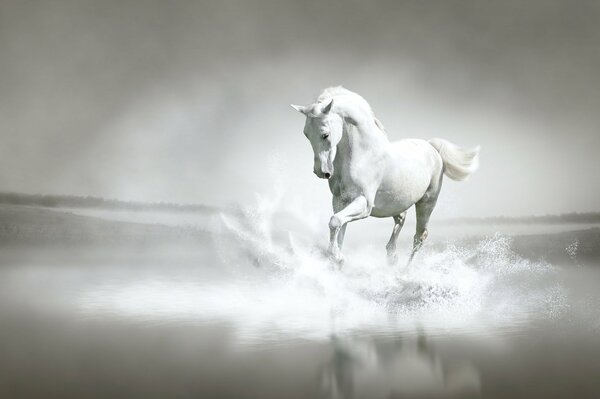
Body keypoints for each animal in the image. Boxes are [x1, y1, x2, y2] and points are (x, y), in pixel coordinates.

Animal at [292, 86, 480, 264]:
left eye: (325, 134)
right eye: (306, 134)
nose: (321, 172)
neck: (362, 155)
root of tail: (432, 148)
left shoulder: (364, 203)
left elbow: (335, 222)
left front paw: (337, 258)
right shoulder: (340, 201)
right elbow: (339, 228)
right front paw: (336, 258)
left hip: (426, 203)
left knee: (419, 237)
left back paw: (404, 270)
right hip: (398, 202)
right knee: (401, 220)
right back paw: (392, 257)